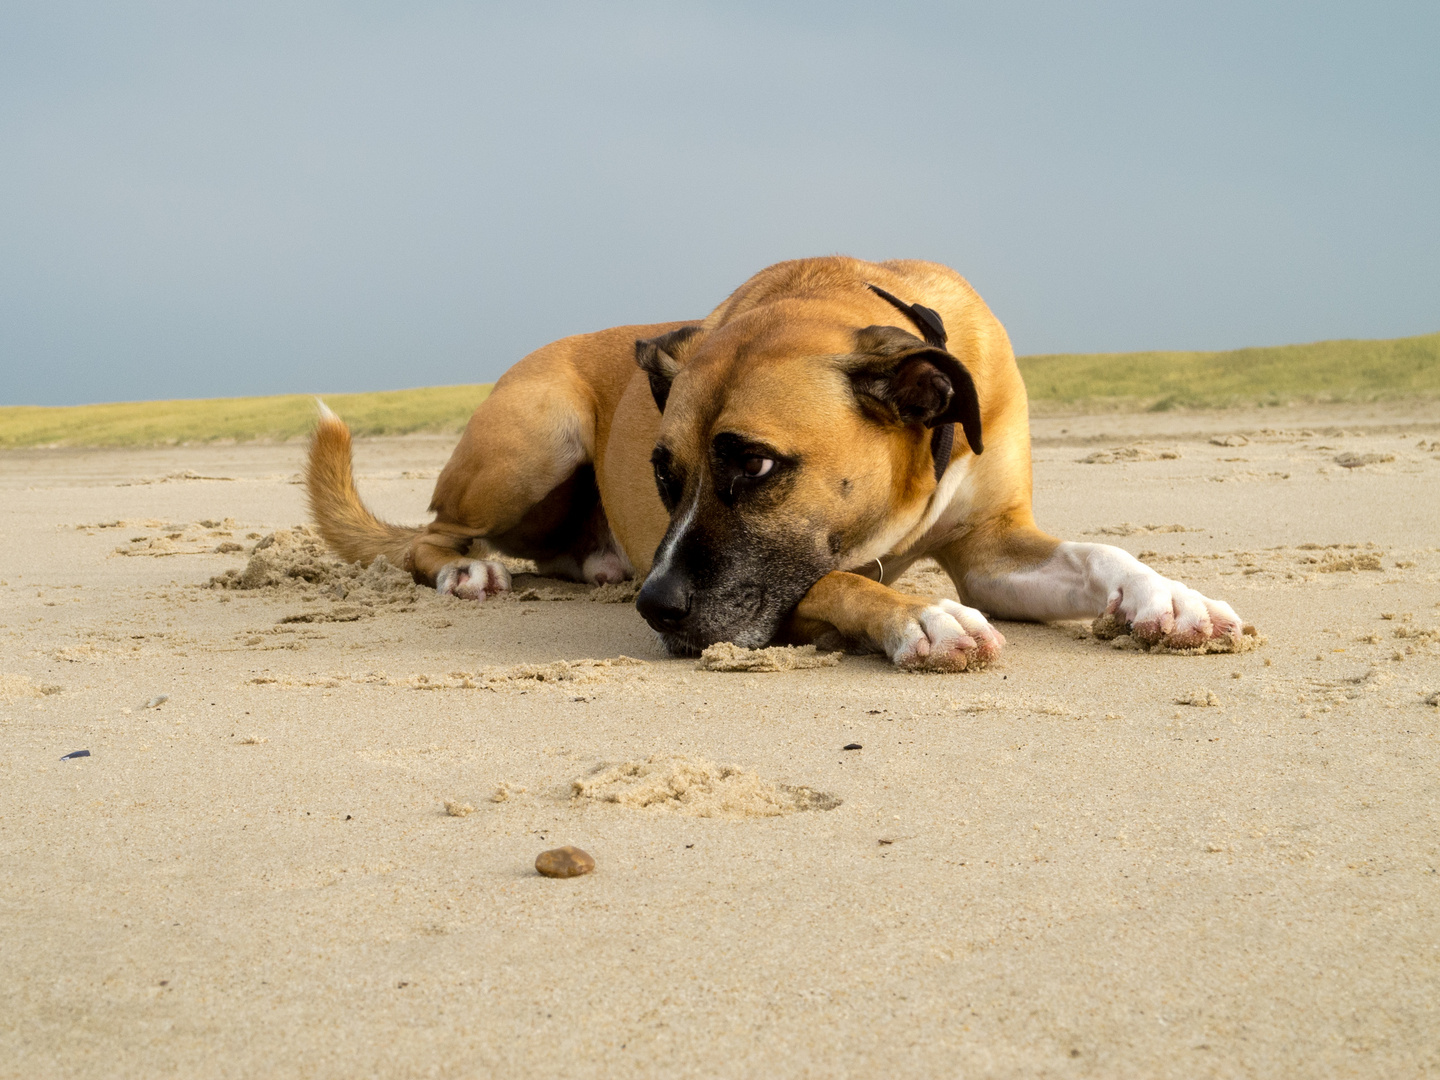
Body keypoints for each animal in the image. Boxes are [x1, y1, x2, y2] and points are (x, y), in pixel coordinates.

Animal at [306, 257, 1249, 673]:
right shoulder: (792, 580)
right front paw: (918, 617)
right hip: (537, 431)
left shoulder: (992, 546)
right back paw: (467, 571)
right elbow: (837, 579)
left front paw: (1167, 597)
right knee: (428, 533)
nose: (654, 607)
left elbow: (1099, 554)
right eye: (662, 472)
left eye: (754, 466)